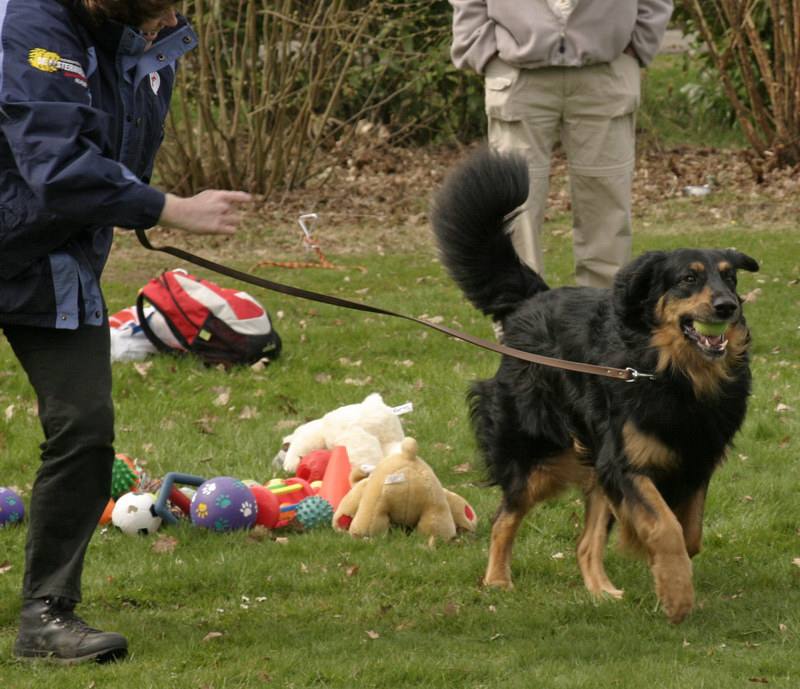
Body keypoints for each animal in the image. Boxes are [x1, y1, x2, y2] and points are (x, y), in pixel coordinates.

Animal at [431, 147, 758, 623]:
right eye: (688, 279)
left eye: (730, 278)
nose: (728, 306)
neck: (672, 373)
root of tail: (534, 298)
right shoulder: (625, 462)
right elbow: (666, 527)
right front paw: (676, 595)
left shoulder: (696, 458)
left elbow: (690, 533)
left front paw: (662, 574)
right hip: (538, 453)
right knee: (504, 517)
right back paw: (497, 581)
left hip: (592, 457)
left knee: (585, 544)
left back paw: (601, 592)